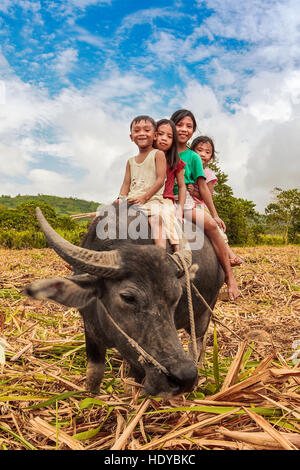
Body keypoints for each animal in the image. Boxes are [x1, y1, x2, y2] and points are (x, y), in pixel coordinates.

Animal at [24, 205, 225, 396]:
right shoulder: (90, 330)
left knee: (197, 342)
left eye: (176, 296)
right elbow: (93, 374)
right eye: (128, 297)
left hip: (205, 312)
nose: (185, 377)